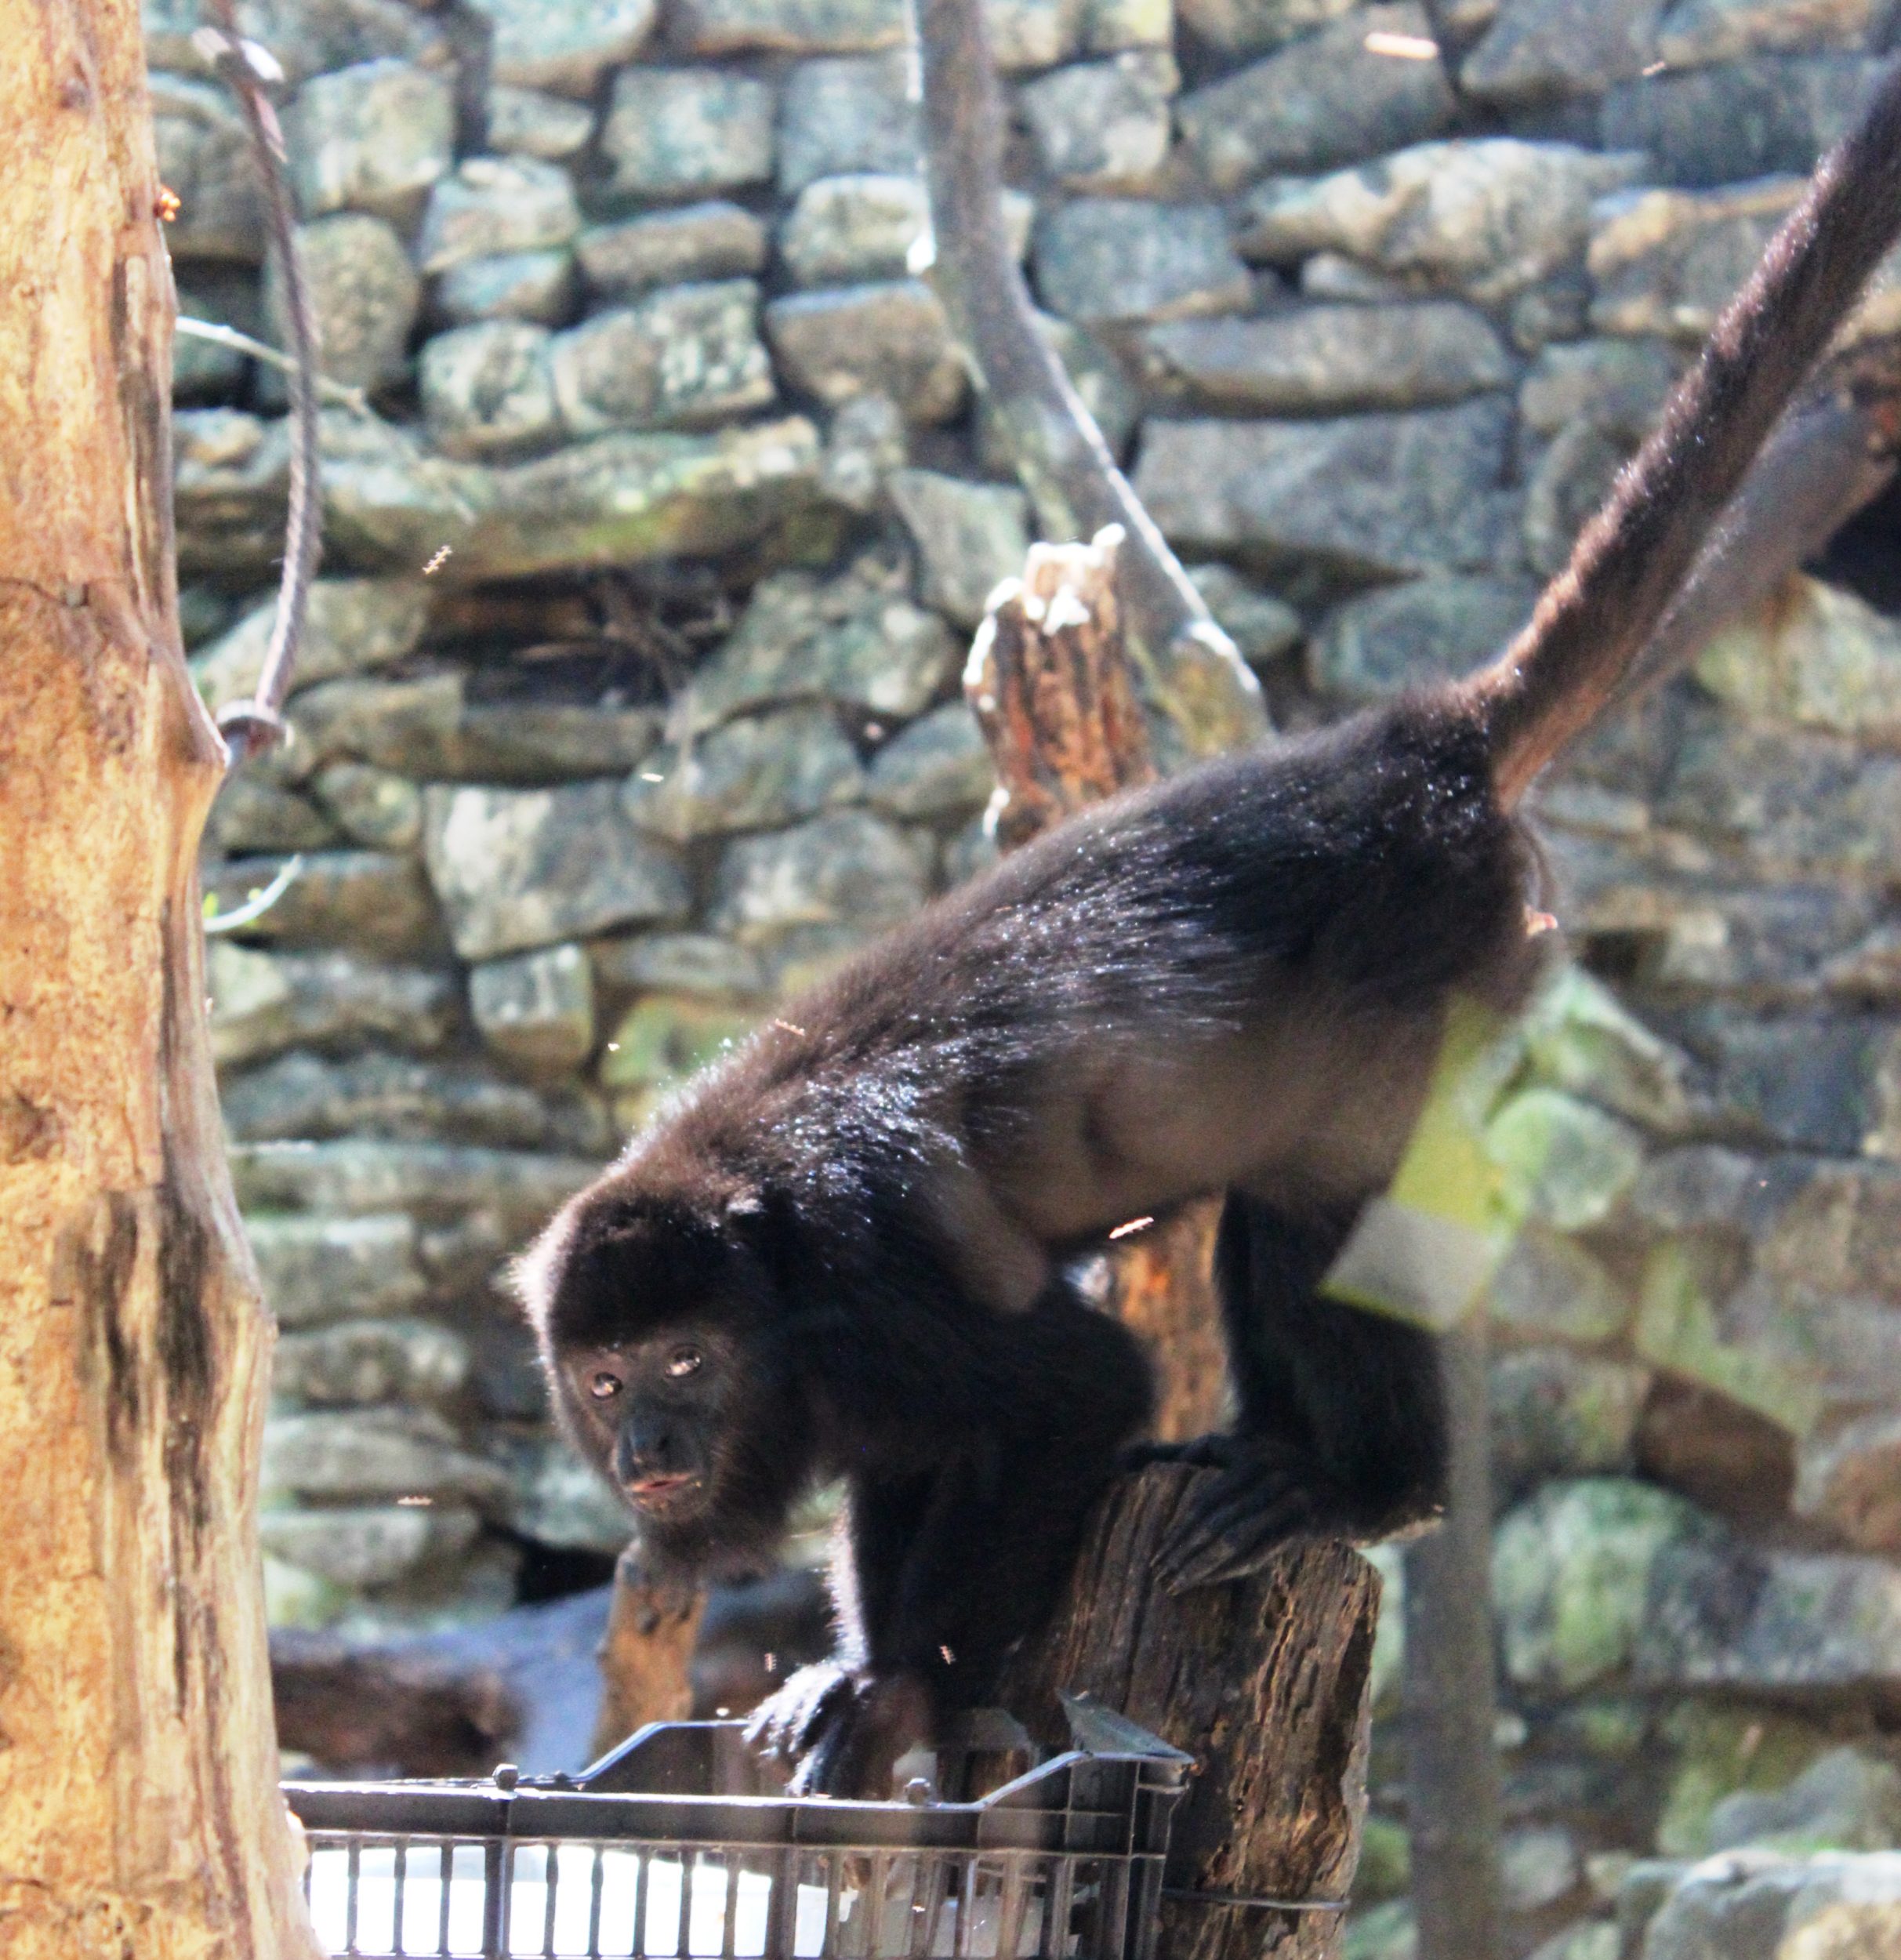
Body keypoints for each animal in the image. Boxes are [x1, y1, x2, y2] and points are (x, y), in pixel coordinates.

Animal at [517, 65, 1901, 1803]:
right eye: (605, 1377)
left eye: (686, 1364)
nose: (647, 1451)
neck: (758, 1247)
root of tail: (1403, 753)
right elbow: (915, 1454)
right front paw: (854, 1661)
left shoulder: (868, 1280)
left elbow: (1071, 1396)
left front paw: (903, 1686)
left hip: (1433, 960)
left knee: (1308, 1207)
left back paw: (1359, 1488)